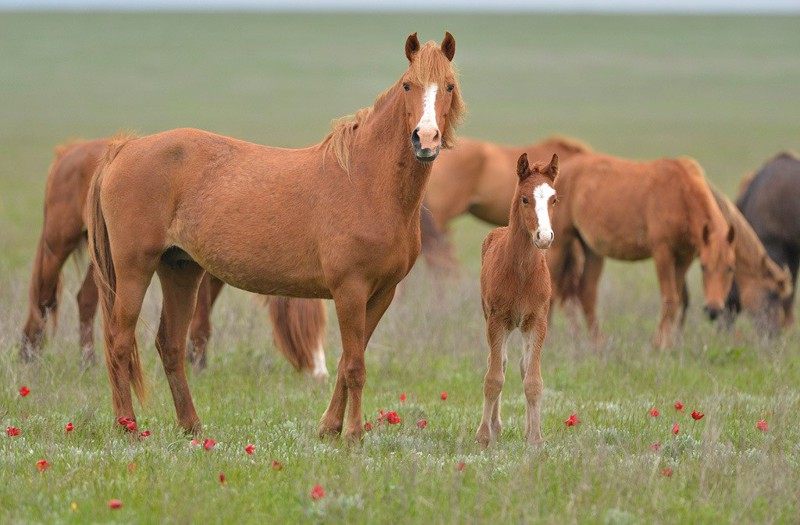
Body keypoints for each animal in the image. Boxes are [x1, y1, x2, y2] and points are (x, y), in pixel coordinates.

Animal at [21, 139, 328, 376]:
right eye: (304, 331)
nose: (320, 373)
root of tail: (69, 151)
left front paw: (194, 359)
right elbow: (202, 323)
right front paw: (199, 366)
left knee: (85, 299)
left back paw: (87, 361)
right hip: (57, 245)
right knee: (44, 298)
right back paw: (29, 356)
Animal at [86, 30, 462, 436]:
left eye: (450, 86)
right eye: (408, 85)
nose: (425, 139)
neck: (365, 180)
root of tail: (123, 148)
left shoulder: (381, 294)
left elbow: (346, 362)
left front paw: (330, 428)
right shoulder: (350, 290)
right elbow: (355, 366)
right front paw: (352, 435)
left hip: (180, 270)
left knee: (169, 344)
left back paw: (192, 426)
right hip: (134, 269)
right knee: (119, 341)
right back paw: (127, 427)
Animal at [478, 152, 560, 446]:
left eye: (554, 199)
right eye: (525, 198)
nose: (544, 237)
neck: (522, 273)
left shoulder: (537, 322)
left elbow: (533, 380)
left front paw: (535, 438)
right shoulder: (497, 321)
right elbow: (494, 378)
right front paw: (484, 436)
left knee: (524, 367)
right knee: (497, 363)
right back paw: (495, 426)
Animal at [548, 151, 736, 348]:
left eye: (730, 268)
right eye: (704, 267)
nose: (714, 310)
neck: (680, 193)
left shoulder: (685, 257)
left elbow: (676, 300)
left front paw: (668, 344)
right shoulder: (662, 252)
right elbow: (670, 299)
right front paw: (659, 345)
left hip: (592, 251)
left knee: (587, 293)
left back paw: (599, 344)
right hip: (558, 247)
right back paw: (549, 341)